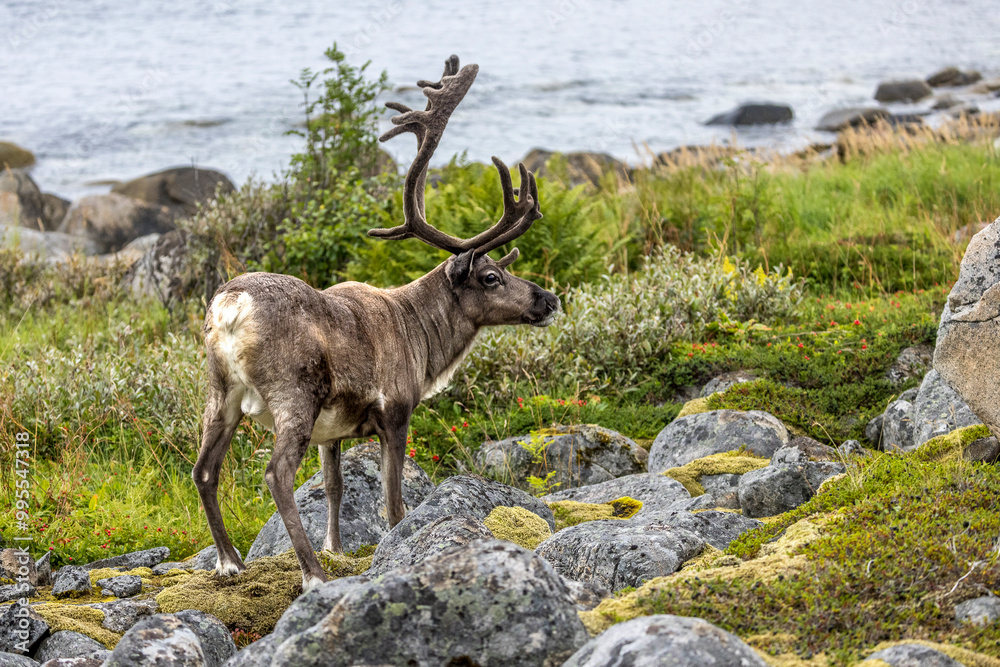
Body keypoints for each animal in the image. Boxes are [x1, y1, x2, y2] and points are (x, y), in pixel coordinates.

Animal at [193, 55, 561, 591]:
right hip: (293, 396)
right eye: (492, 277)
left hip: (221, 392)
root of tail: (231, 306)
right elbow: (393, 503)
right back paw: (312, 575)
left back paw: (230, 561)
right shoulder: (395, 412)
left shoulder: (332, 434)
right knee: (275, 476)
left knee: (204, 470)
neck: (421, 339)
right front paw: (379, 548)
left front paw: (338, 547)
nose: (549, 299)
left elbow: (334, 486)